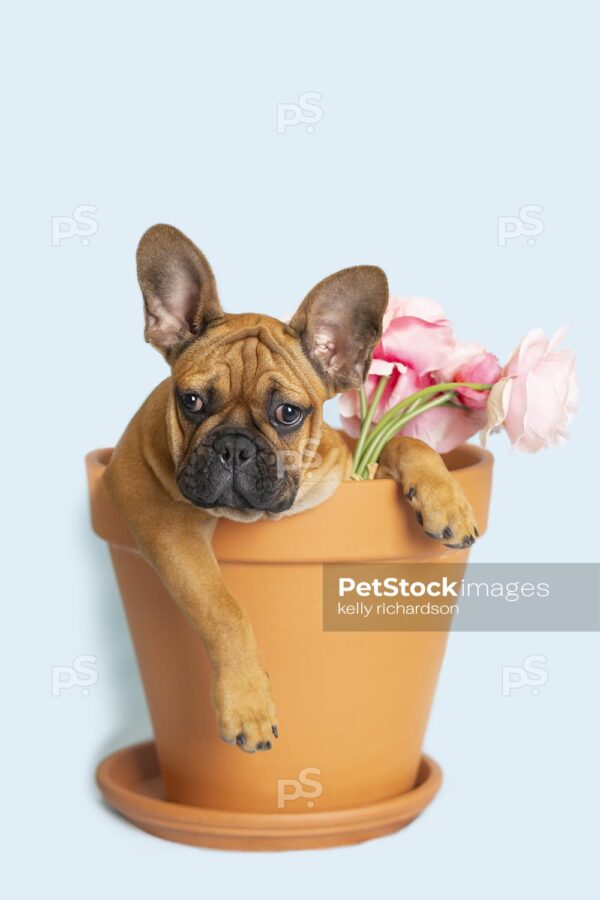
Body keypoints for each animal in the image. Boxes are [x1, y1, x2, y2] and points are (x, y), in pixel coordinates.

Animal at [104, 225, 478, 752]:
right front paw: (248, 705)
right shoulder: (164, 522)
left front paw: (445, 500)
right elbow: (223, 608)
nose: (234, 446)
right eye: (191, 401)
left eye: (287, 413)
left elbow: (405, 441)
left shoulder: (352, 461)